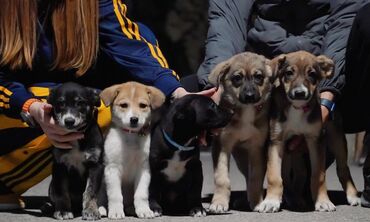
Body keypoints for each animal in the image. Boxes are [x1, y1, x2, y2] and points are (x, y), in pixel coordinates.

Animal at [47, 82, 104, 220]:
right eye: (60, 103)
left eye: (80, 103)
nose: (69, 121)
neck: (75, 136)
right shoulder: (59, 165)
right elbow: (61, 191)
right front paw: (63, 211)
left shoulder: (95, 165)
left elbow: (90, 191)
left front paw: (91, 210)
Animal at [100, 81, 165, 219]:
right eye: (124, 105)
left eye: (143, 105)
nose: (134, 119)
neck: (130, 136)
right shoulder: (112, 168)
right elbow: (115, 195)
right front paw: (115, 211)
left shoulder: (144, 169)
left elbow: (141, 194)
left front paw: (144, 210)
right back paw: (102, 209)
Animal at [207, 51, 274, 212]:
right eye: (237, 78)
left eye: (258, 76)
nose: (250, 96)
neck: (246, 111)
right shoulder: (221, 145)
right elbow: (221, 177)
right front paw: (219, 202)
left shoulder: (256, 148)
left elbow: (255, 178)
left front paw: (257, 202)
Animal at [256, 50, 360, 213]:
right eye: (289, 73)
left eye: (312, 74)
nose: (300, 93)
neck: (297, 107)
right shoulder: (276, 141)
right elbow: (274, 175)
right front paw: (271, 201)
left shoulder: (316, 140)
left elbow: (319, 176)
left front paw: (322, 201)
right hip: (292, 152)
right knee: (296, 175)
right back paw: (295, 198)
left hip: (337, 140)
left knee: (343, 169)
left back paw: (352, 195)